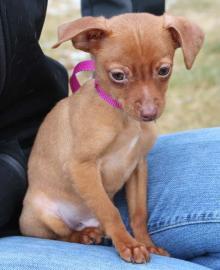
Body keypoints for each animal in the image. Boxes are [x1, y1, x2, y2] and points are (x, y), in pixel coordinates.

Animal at [19, 13, 204, 264]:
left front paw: (147, 244)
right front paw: (129, 245)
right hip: (40, 212)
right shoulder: (81, 167)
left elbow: (138, 213)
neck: (125, 120)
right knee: (62, 234)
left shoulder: (138, 166)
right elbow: (110, 211)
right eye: (118, 76)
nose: (149, 114)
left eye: (164, 71)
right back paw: (83, 235)